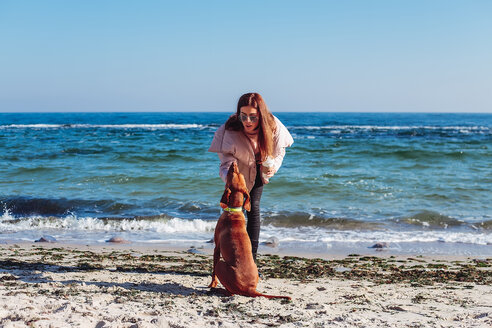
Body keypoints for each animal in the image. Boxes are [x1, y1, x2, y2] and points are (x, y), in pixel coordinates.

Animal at [209, 161, 292, 300]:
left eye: (233, 173)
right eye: (239, 174)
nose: (234, 162)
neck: (234, 210)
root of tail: (250, 289)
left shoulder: (217, 248)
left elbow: (213, 271)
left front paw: (212, 284)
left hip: (221, 264)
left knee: (230, 291)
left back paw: (219, 290)